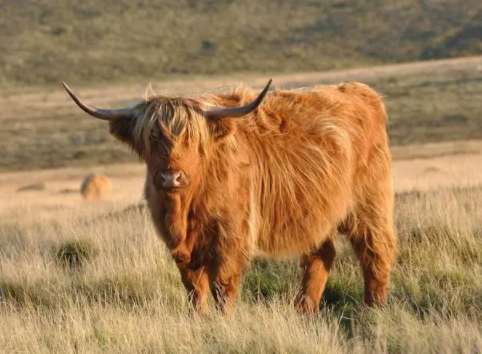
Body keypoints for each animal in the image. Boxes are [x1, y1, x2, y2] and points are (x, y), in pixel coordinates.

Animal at [63, 81, 396, 316]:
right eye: (153, 137)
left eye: (191, 138)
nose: (171, 177)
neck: (184, 209)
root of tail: (362, 91)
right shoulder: (180, 245)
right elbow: (193, 286)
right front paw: (198, 319)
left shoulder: (231, 234)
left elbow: (222, 284)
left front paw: (225, 321)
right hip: (315, 210)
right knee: (321, 255)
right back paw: (304, 310)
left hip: (369, 203)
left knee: (376, 251)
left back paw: (373, 309)